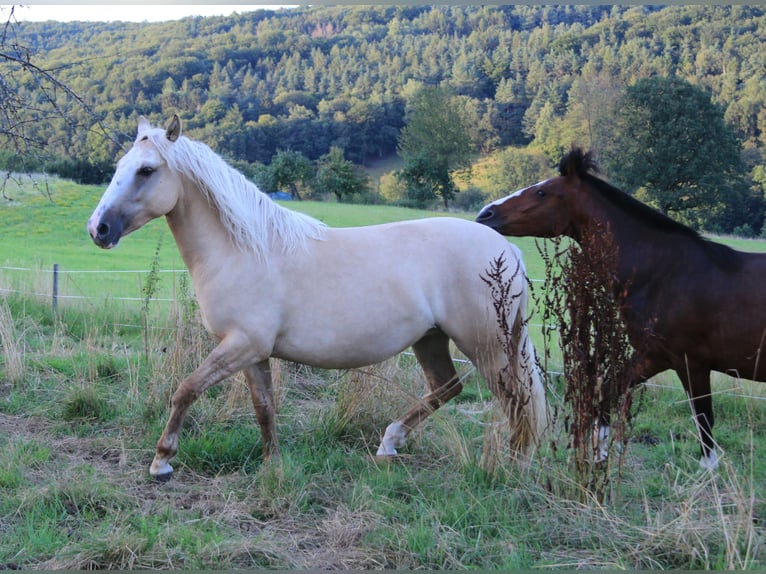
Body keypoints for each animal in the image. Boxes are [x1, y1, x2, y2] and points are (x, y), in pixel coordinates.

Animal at [87, 116, 548, 482]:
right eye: (118, 168)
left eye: (147, 170)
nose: (98, 229)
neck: (246, 250)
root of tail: (507, 250)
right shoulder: (253, 353)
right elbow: (264, 407)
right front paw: (273, 465)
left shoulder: (241, 346)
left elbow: (185, 390)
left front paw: (162, 462)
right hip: (431, 337)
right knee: (448, 387)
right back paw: (390, 443)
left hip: (487, 345)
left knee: (516, 398)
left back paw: (515, 467)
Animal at [476, 150, 766, 472]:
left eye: (542, 192)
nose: (485, 214)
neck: (668, 274)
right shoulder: (653, 356)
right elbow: (607, 393)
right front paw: (598, 454)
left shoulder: (692, 363)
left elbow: (704, 420)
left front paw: (708, 470)